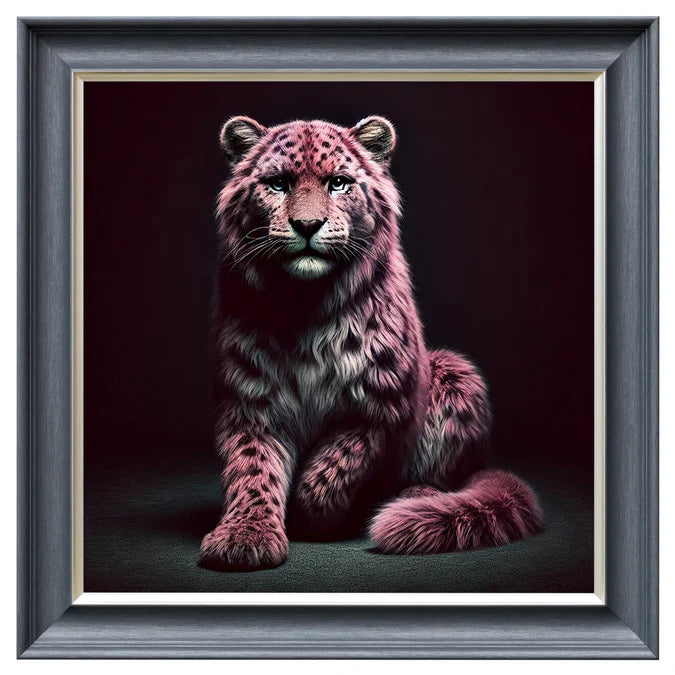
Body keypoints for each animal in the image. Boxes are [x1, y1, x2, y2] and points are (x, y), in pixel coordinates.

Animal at [199, 114, 543, 571]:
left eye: (338, 183)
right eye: (278, 184)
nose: (307, 226)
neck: (305, 307)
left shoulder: (382, 399)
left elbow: (335, 464)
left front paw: (315, 515)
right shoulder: (249, 402)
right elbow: (252, 471)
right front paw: (243, 537)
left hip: (455, 371)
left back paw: (416, 500)